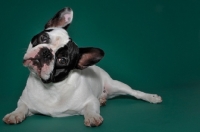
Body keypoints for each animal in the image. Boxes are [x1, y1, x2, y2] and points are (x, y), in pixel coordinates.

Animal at [2, 7, 162, 127]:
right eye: (44, 38)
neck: (51, 88)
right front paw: (14, 114)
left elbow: (91, 108)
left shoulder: (90, 101)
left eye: (62, 60)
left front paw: (92, 117)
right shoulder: (24, 102)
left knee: (135, 92)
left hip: (116, 86)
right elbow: (22, 107)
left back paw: (152, 97)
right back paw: (102, 99)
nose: (47, 53)